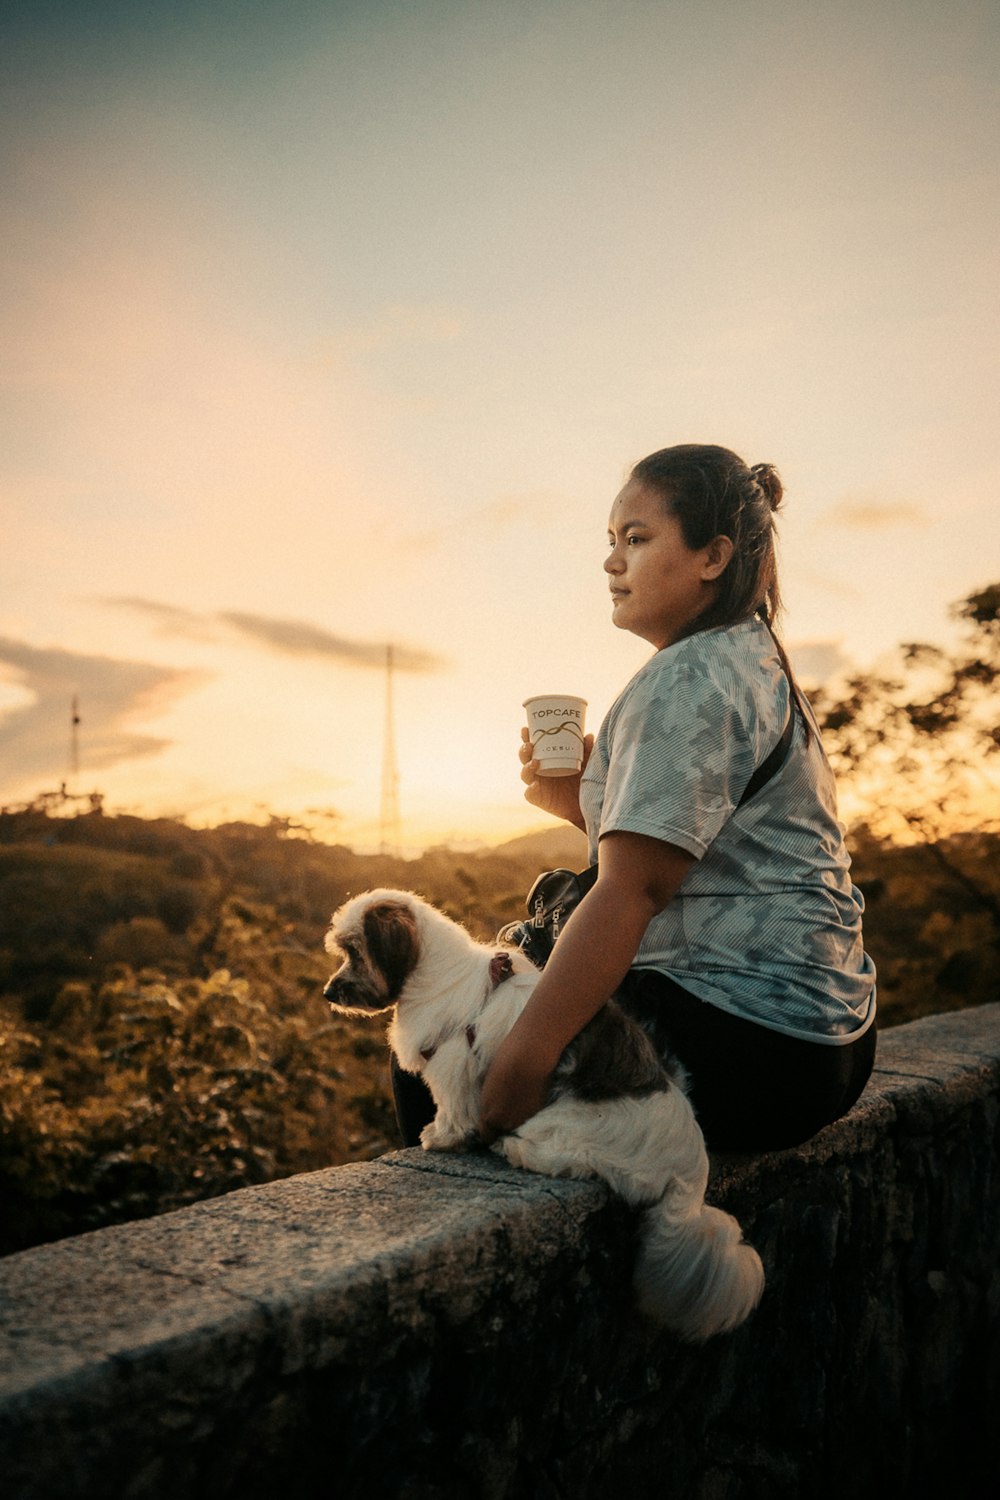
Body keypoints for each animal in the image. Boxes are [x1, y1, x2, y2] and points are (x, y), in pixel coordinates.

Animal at [325, 882, 761, 1344]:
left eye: (354, 952)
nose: (329, 992)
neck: (438, 977)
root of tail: (691, 1168)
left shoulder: (453, 1063)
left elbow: (453, 1110)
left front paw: (442, 1137)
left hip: (566, 1122)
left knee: (574, 1162)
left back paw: (513, 1148)